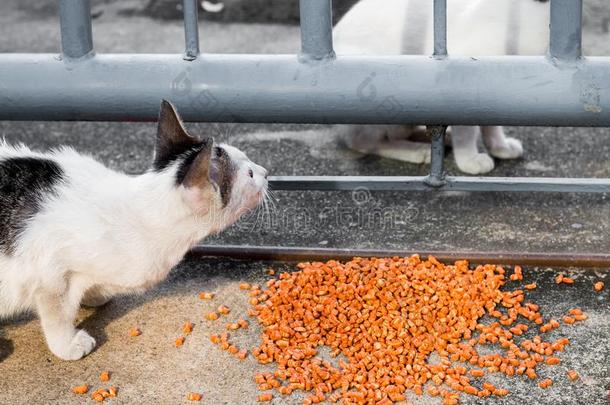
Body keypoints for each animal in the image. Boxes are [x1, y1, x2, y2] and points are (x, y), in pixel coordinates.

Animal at [0, 101, 266, 360]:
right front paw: (67, 345)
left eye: (250, 162)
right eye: (250, 175)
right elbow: (57, 315)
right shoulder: (50, 274)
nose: (264, 171)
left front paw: (94, 295)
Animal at [332, 0, 552, 172]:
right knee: (362, 141)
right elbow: (467, 132)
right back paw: (416, 151)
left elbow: (492, 124)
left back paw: (436, 137)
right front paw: (469, 160)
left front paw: (500, 147)